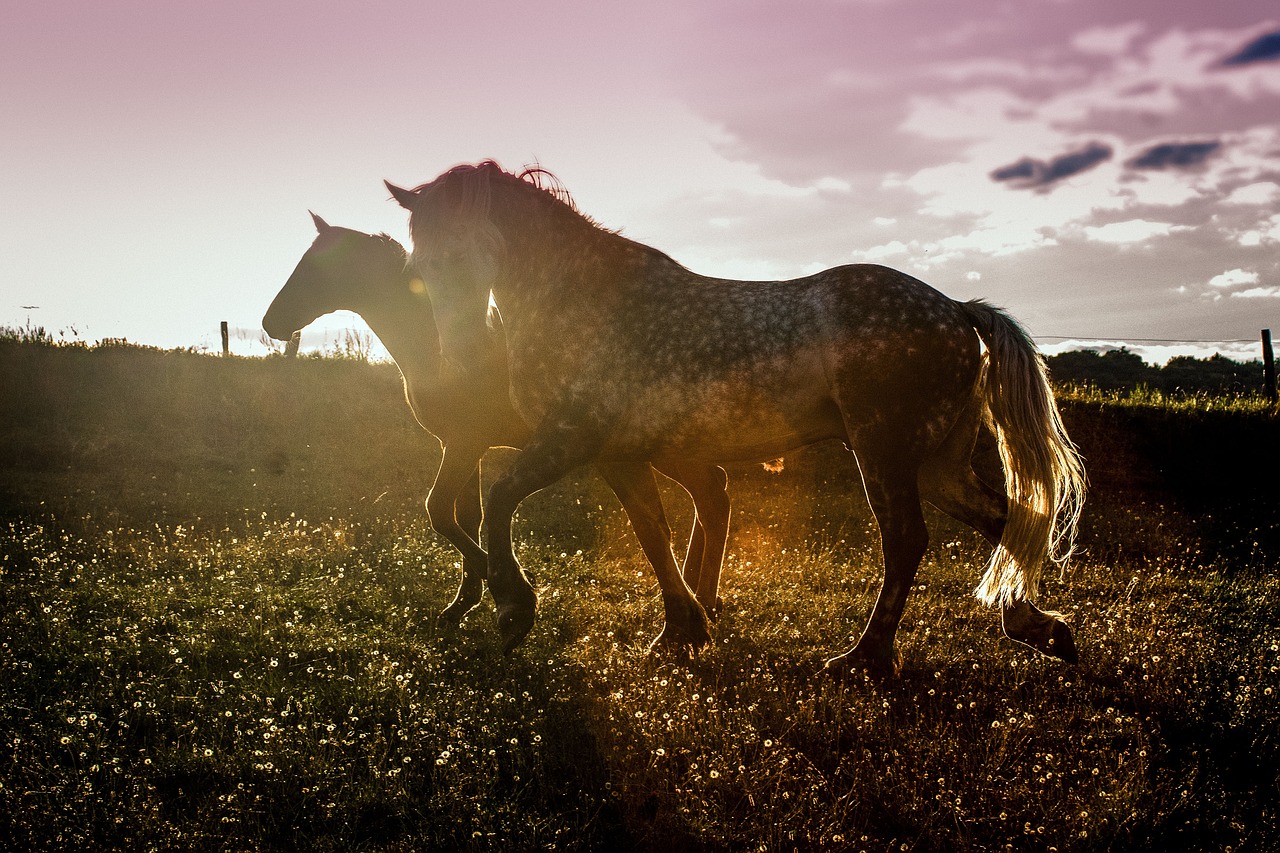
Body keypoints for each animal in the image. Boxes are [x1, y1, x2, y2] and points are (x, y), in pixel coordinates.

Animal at [262, 213, 732, 630]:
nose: (272, 322)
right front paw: (465, 603)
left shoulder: (464, 443)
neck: (442, 346)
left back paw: (700, 600)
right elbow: (465, 516)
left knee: (711, 495)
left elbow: (440, 511)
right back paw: (700, 598)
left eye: (315, 269)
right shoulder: (462, 446)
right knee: (711, 491)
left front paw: (507, 587)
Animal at [386, 162, 1090, 676]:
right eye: (418, 269)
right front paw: (682, 631)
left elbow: (500, 498)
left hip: (884, 454)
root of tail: (956, 310)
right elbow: (653, 535)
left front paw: (513, 609)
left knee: (907, 541)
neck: (581, 302)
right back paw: (1040, 630)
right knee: (1005, 519)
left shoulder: (570, 440)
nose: (461, 360)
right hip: (939, 465)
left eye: (461, 258)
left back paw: (865, 659)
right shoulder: (619, 454)